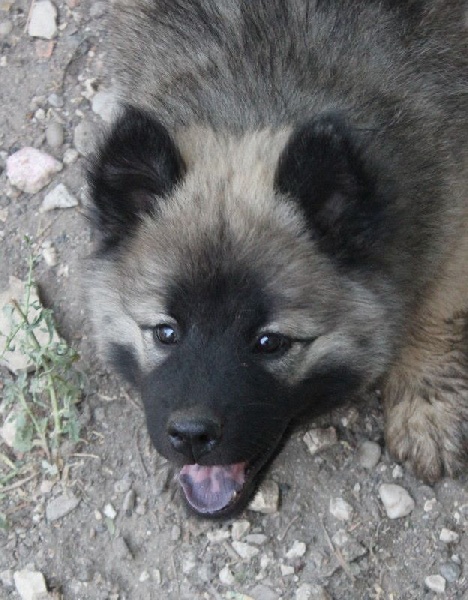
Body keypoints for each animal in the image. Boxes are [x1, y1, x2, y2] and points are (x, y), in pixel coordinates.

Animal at [86, 0, 468, 517]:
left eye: (270, 343)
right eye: (165, 333)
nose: (190, 436)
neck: (256, 87)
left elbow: (436, 309)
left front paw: (427, 404)